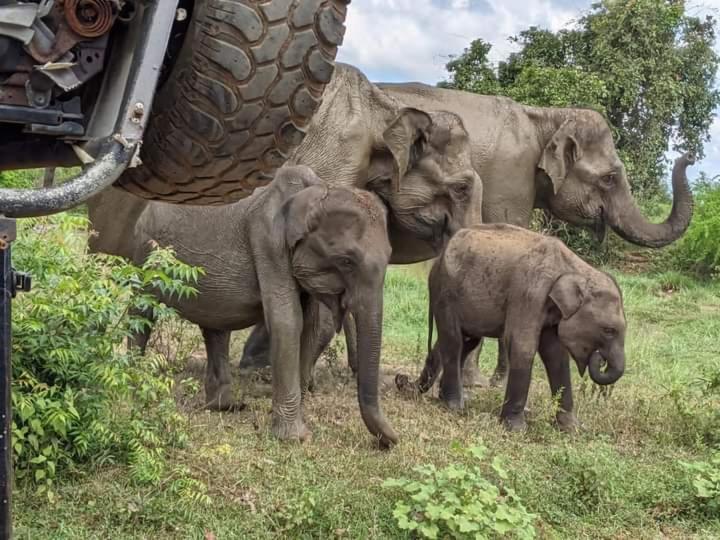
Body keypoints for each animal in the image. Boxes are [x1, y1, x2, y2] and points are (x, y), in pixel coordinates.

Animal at [87, 165, 398, 447]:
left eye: (390, 257)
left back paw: (225, 406)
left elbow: (309, 325)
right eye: (347, 260)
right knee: (143, 312)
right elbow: (287, 321)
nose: (392, 441)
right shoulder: (268, 243)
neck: (315, 191)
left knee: (215, 328)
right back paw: (136, 390)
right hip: (147, 253)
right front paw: (295, 438)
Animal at [396, 224, 627, 432]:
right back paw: (454, 406)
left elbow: (555, 355)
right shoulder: (528, 293)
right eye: (609, 330)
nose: (600, 359)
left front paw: (572, 429)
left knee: (465, 341)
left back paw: (445, 397)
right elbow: (522, 346)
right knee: (454, 340)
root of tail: (438, 259)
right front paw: (515, 429)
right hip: (445, 292)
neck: (573, 267)